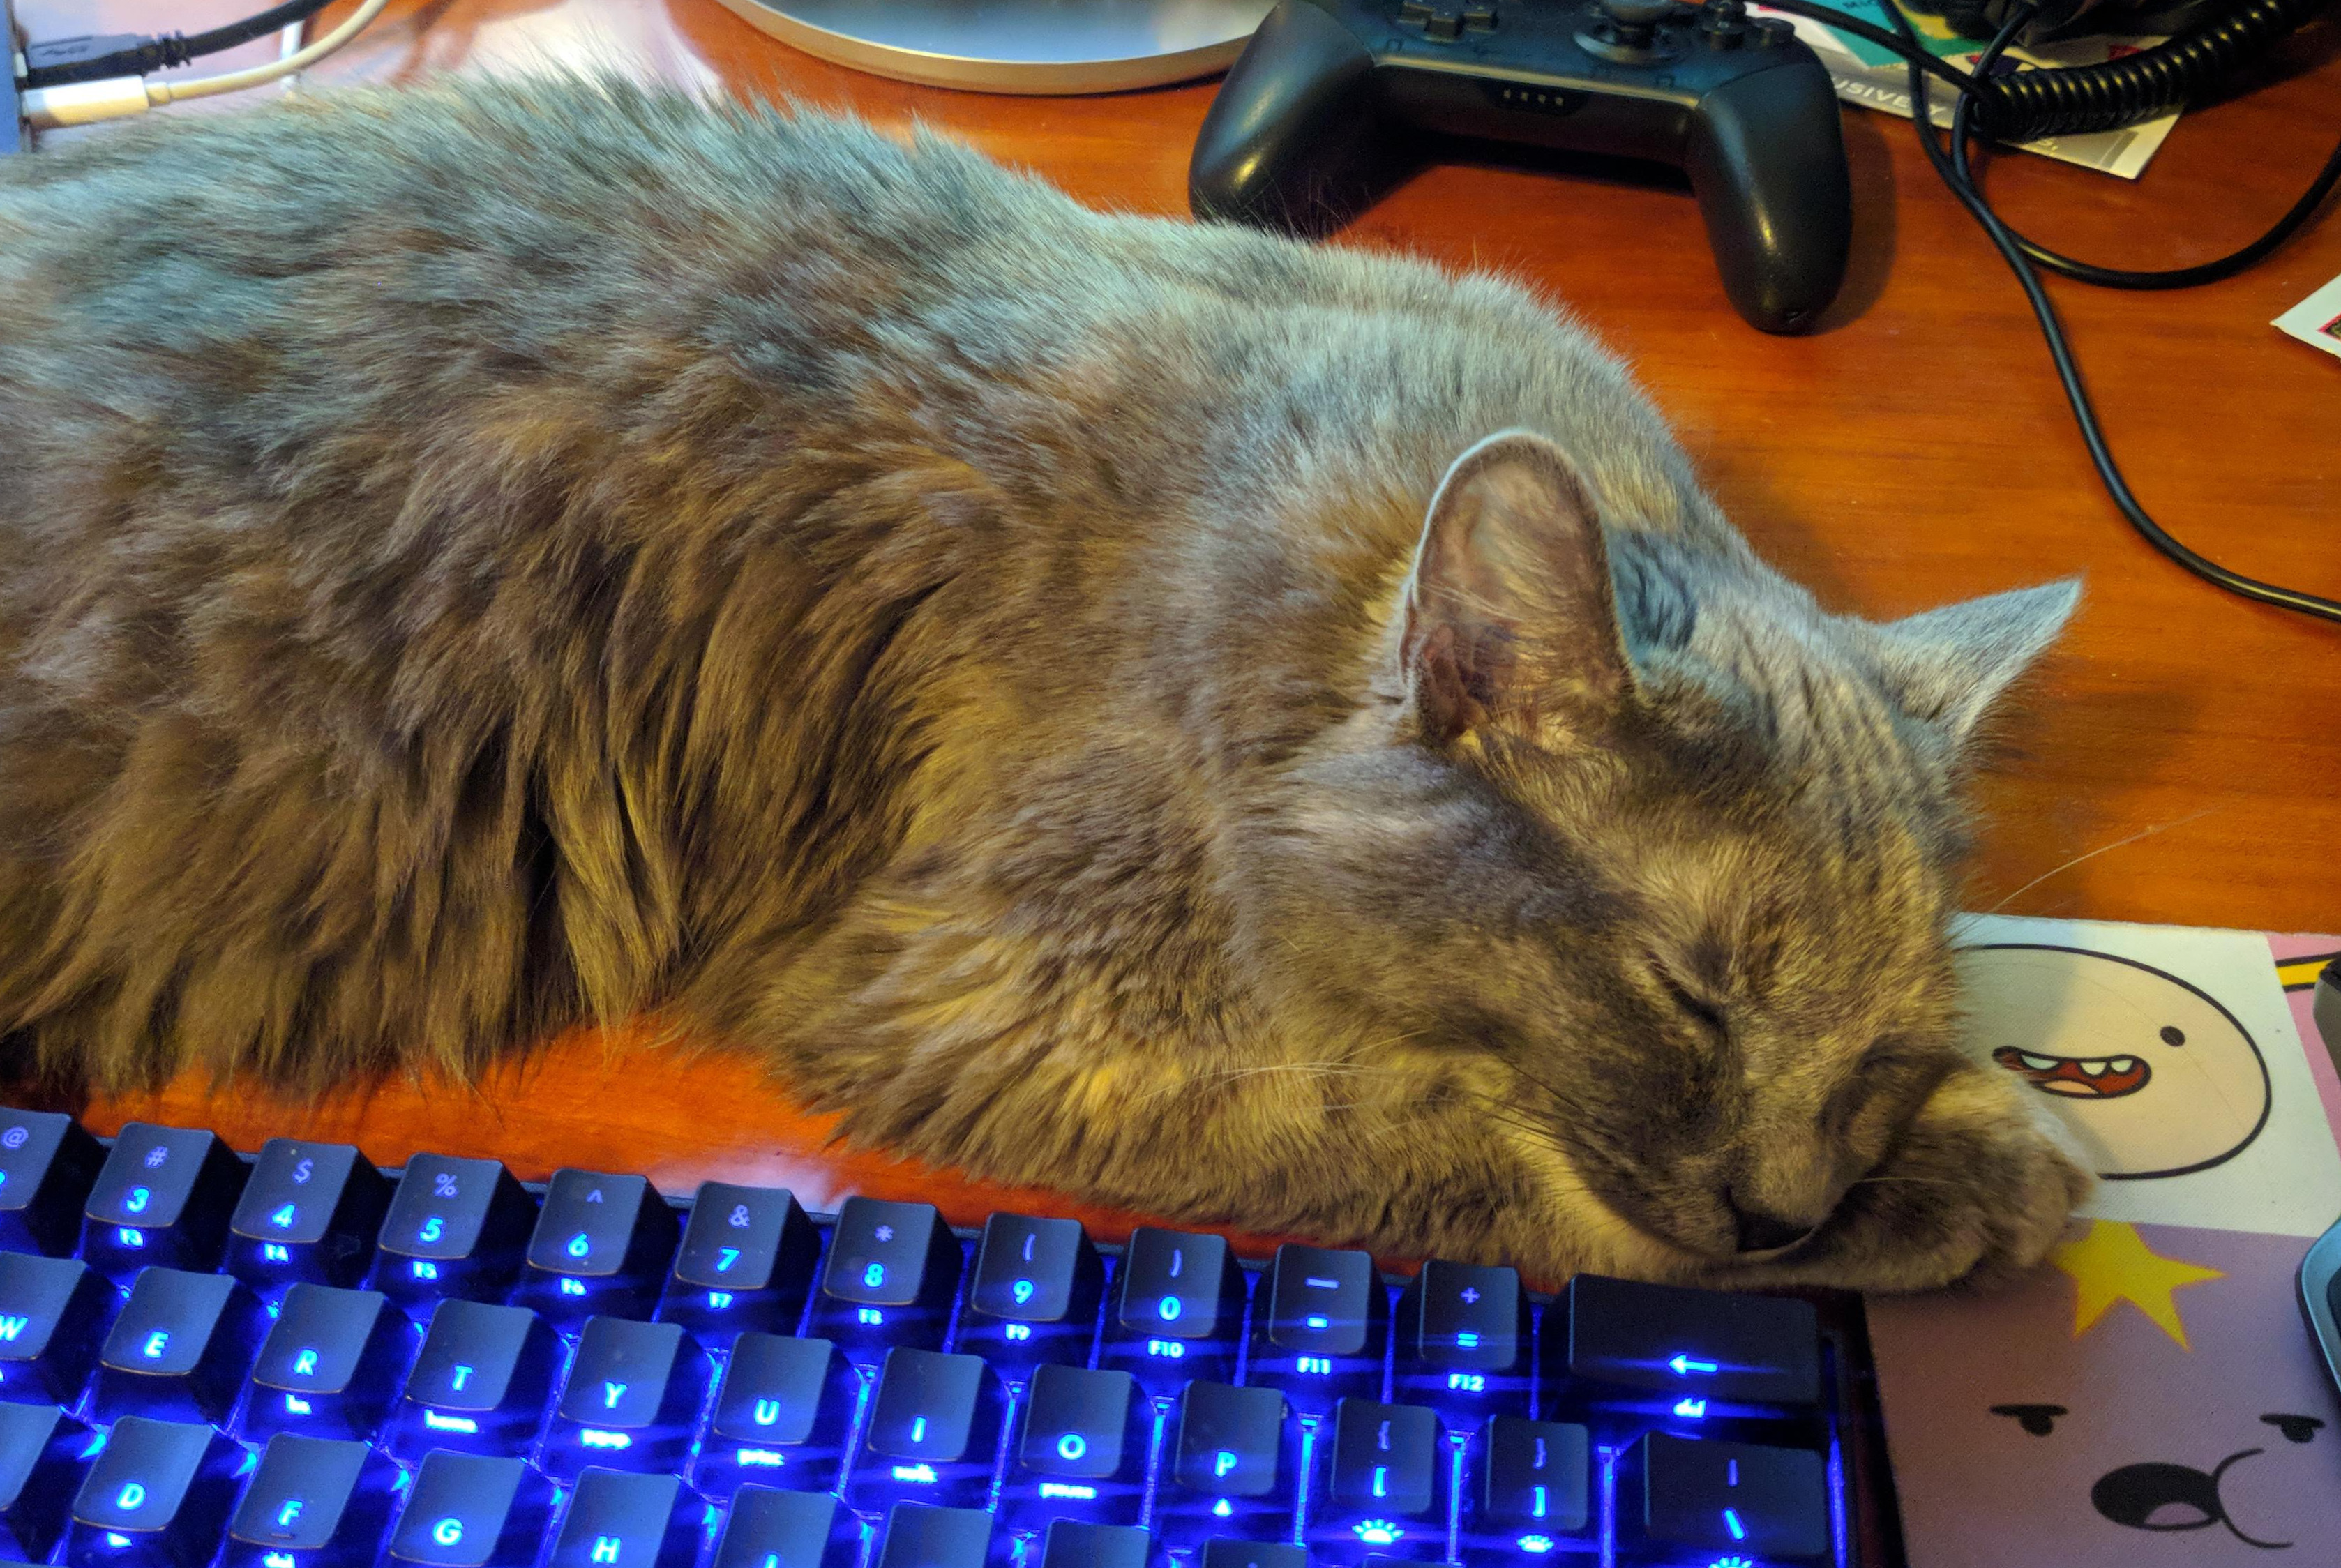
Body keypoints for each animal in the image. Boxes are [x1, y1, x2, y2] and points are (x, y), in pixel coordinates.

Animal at [0, 76, 2088, 1292]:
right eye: (1689, 997)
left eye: (1877, 1045)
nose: (1784, 1202)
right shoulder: (1001, 1008)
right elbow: (1485, 1175)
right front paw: (1987, 1177)